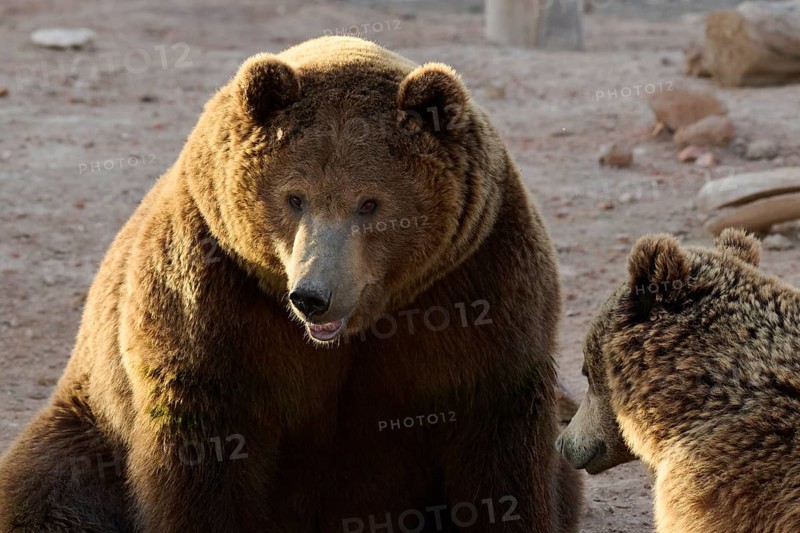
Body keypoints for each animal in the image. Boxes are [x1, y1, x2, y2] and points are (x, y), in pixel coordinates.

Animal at [0, 36, 581, 532]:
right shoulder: (212, 293)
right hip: (91, 422)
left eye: (369, 202)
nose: (312, 296)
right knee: (48, 492)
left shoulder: (475, 281)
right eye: (294, 196)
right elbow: (203, 457)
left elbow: (496, 448)